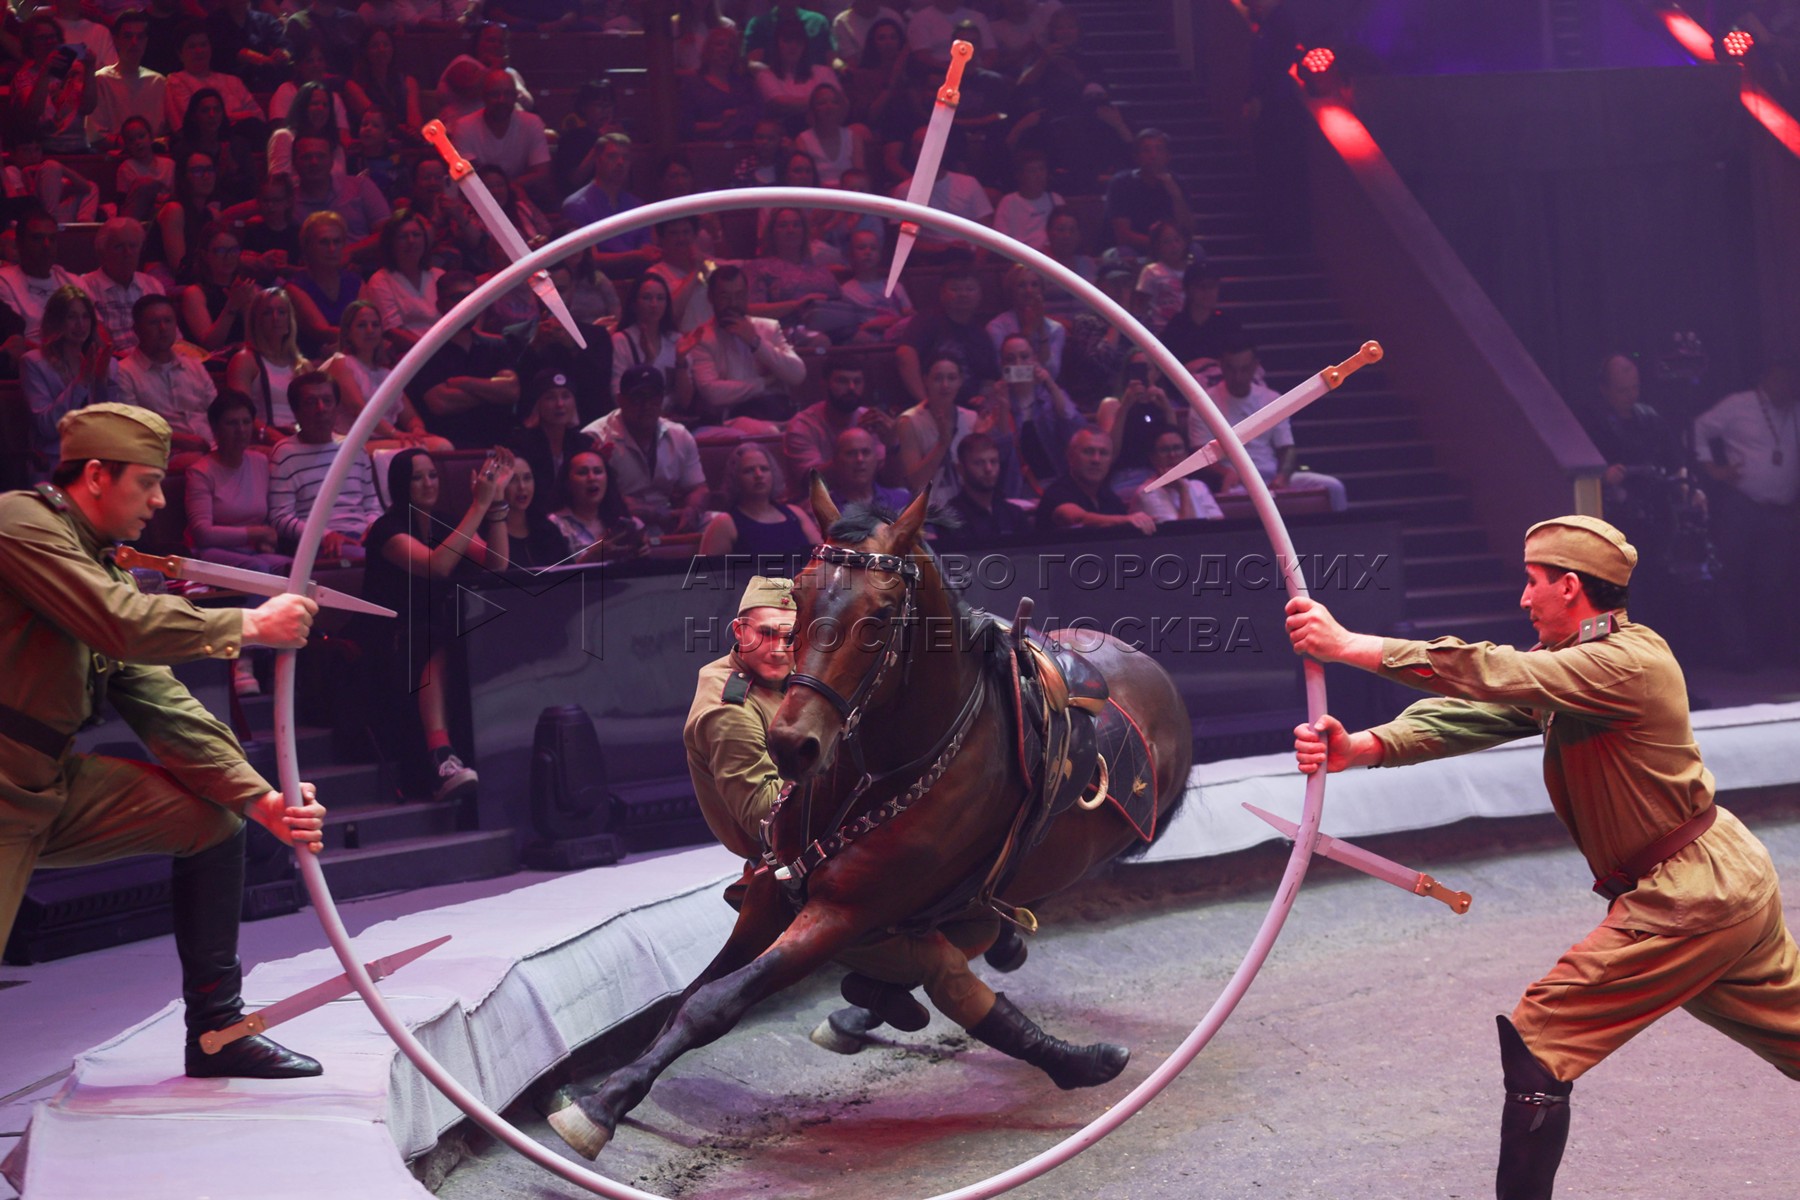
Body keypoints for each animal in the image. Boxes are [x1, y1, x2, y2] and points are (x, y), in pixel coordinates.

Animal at [549, 484, 1194, 1159]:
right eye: (800, 596)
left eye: (881, 617)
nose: (792, 744)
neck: (882, 773)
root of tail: (1153, 675)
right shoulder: (771, 896)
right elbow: (695, 993)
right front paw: (609, 1089)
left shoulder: (843, 911)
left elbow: (718, 1001)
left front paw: (600, 1105)